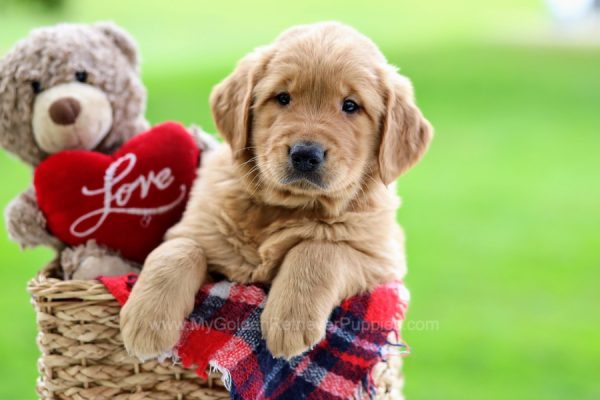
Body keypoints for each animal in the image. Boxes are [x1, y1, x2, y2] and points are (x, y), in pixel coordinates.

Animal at [120, 21, 432, 360]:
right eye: (282, 98)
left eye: (350, 105)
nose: (305, 154)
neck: (286, 207)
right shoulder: (199, 232)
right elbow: (177, 250)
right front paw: (147, 320)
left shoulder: (381, 259)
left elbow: (320, 249)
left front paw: (291, 320)